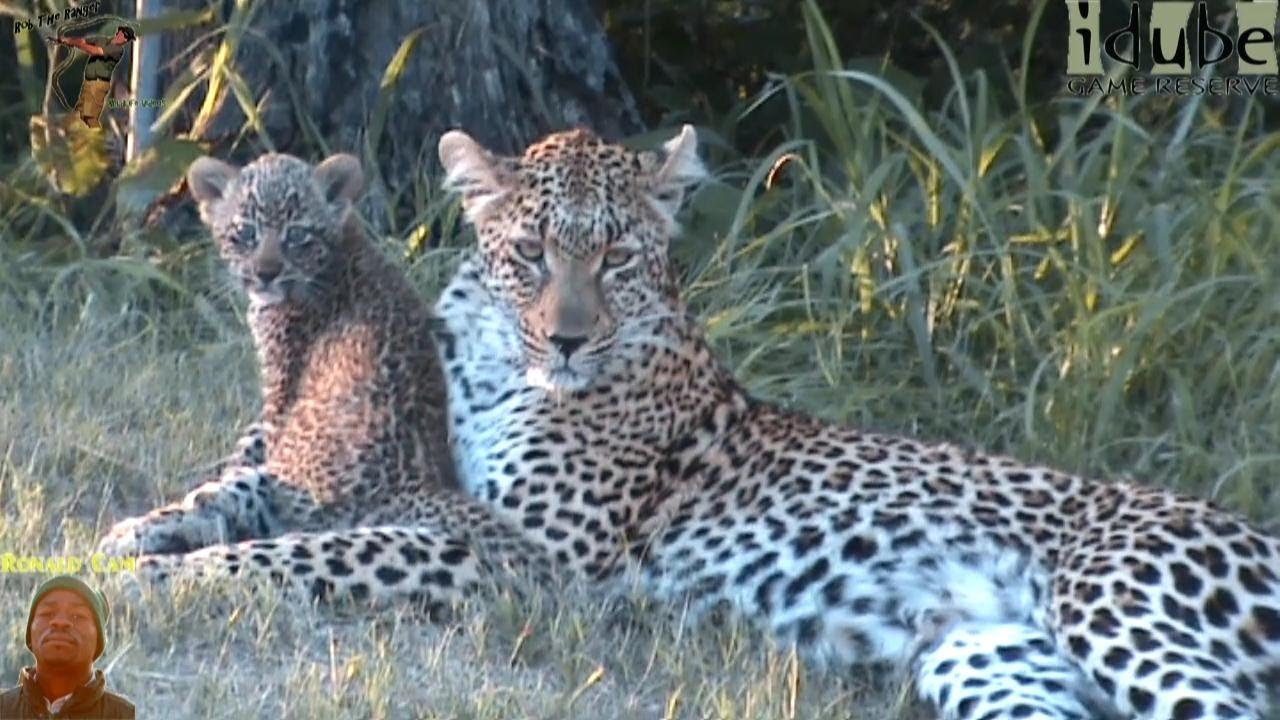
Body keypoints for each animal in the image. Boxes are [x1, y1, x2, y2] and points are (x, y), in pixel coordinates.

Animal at [432, 126, 1280, 712]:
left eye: (615, 258)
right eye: (531, 252)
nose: (568, 340)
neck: (495, 363)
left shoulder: (557, 556)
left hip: (1112, 602)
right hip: (982, 652)